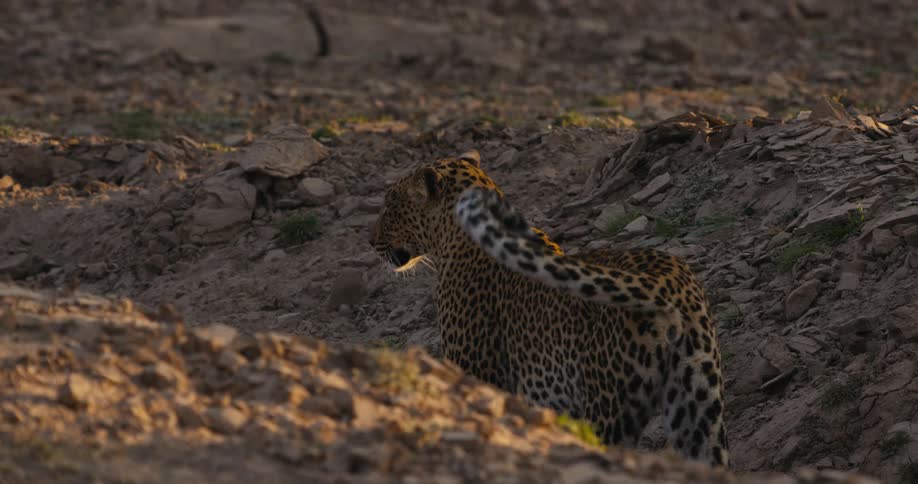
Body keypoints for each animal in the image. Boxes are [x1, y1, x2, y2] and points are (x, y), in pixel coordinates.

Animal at [370, 150, 729, 467]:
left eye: (390, 206)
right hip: (698, 410)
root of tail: (667, 278)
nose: (371, 242)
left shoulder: (477, 372)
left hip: (608, 406)